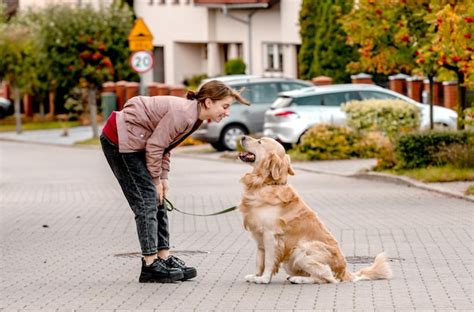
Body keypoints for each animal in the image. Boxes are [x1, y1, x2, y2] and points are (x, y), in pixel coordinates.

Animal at [237, 135, 392, 284]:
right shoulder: (259, 237)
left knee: (326, 277)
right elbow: (259, 260)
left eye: (259, 141)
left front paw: (263, 279)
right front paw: (256, 275)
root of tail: (344, 271)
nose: (243, 137)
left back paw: (299, 279)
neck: (265, 184)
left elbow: (268, 261)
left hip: (301, 250)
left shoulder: (271, 235)